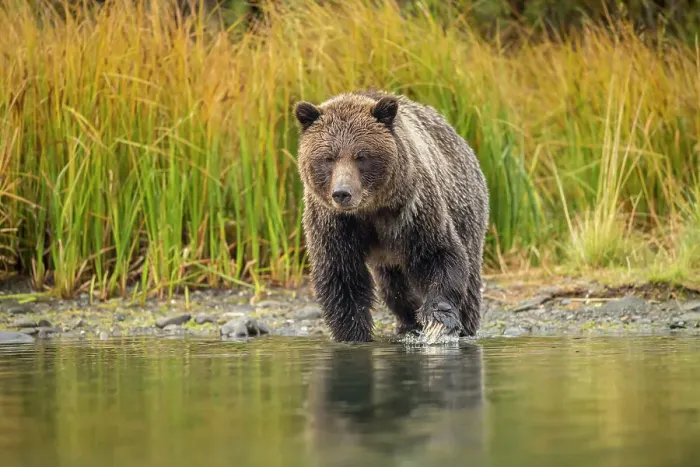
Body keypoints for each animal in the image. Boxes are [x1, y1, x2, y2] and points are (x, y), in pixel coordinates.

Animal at [293, 89, 489, 343]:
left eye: (361, 156)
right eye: (328, 157)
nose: (342, 193)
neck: (369, 210)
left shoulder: (413, 210)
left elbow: (439, 254)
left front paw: (438, 319)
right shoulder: (335, 224)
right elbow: (342, 277)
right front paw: (353, 333)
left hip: (465, 207)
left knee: (469, 273)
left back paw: (464, 325)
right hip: (388, 260)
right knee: (395, 288)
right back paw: (409, 323)